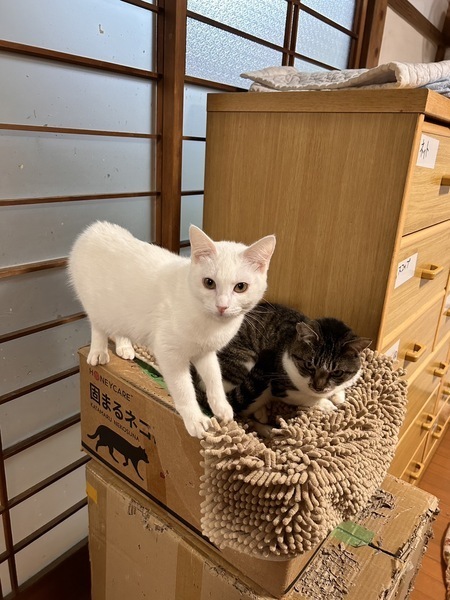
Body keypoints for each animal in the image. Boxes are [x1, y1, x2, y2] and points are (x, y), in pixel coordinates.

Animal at [68, 221, 276, 438]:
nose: (222, 306)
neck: (209, 323)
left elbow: (214, 378)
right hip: (97, 305)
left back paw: (124, 346)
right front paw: (195, 419)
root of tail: (94, 228)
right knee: (98, 325)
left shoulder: (205, 352)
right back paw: (99, 351)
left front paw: (222, 406)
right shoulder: (170, 353)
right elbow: (184, 388)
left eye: (241, 287)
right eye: (209, 283)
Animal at [194, 302, 371, 422]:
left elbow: (340, 388)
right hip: (243, 364)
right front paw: (325, 404)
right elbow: (307, 398)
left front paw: (338, 396)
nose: (318, 387)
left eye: (337, 372)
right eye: (309, 365)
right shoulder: (280, 386)